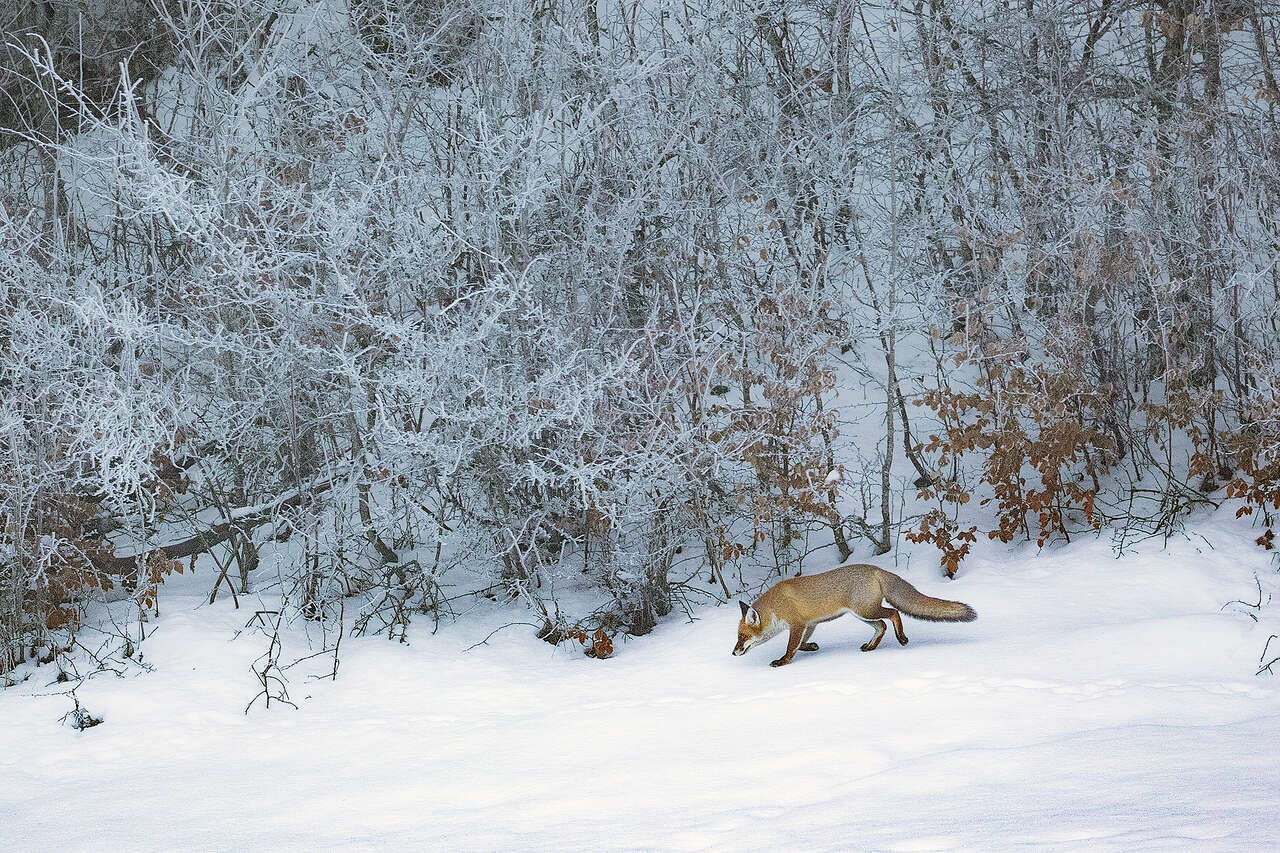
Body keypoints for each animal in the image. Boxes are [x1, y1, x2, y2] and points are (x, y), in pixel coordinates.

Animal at [732, 563, 977, 667]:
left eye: (742, 637)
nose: (733, 652)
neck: (778, 605)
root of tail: (875, 568)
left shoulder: (797, 624)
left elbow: (791, 647)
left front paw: (782, 662)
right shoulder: (810, 623)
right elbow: (801, 644)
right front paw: (811, 647)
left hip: (865, 610)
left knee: (894, 613)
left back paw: (901, 638)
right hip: (862, 614)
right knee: (881, 626)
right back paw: (870, 647)